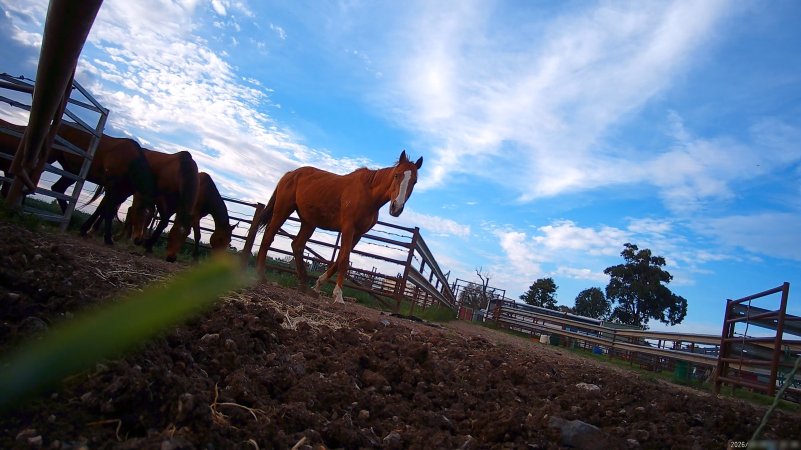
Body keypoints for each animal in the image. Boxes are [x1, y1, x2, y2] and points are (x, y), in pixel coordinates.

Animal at [255, 150, 423, 304]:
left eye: (414, 181)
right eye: (396, 175)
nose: (396, 208)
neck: (368, 194)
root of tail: (290, 174)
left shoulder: (358, 234)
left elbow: (338, 260)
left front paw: (318, 285)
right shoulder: (348, 228)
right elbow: (344, 261)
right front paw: (338, 295)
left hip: (309, 222)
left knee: (297, 246)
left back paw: (305, 286)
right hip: (282, 211)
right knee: (269, 237)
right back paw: (262, 276)